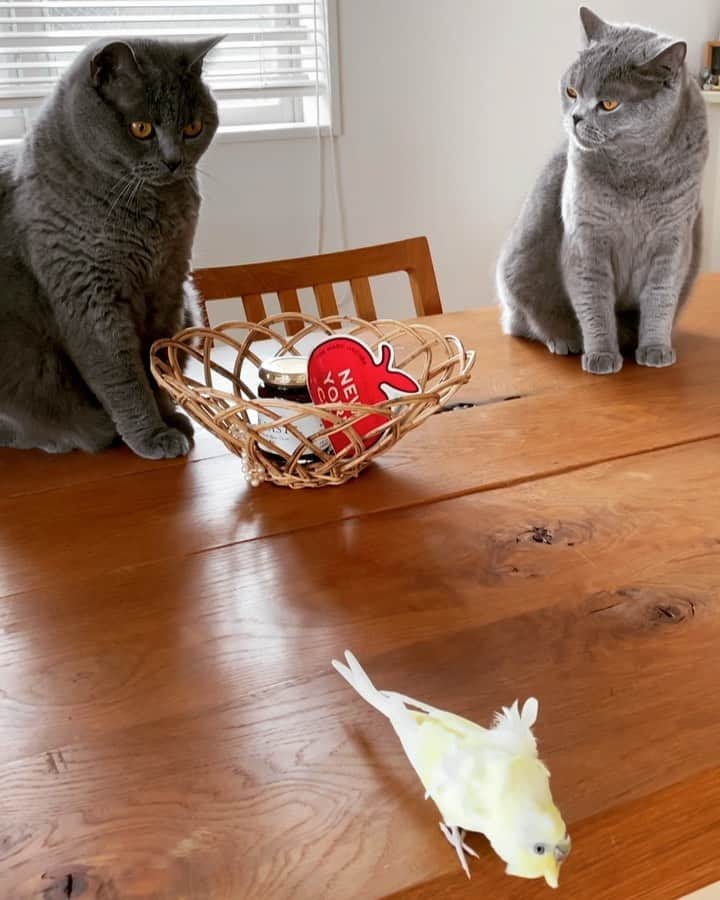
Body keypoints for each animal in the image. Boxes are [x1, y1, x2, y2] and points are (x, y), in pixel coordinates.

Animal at [0, 35, 222, 458]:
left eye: (193, 127)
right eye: (141, 128)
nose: (174, 161)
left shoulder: (169, 284)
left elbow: (157, 361)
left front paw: (170, 418)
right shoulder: (88, 296)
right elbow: (122, 376)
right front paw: (151, 435)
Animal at [498, 7, 704, 372]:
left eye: (608, 104)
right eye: (571, 92)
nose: (576, 118)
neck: (636, 172)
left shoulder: (674, 240)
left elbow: (660, 297)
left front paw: (655, 349)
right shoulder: (586, 238)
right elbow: (593, 301)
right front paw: (601, 356)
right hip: (519, 267)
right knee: (526, 322)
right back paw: (563, 340)